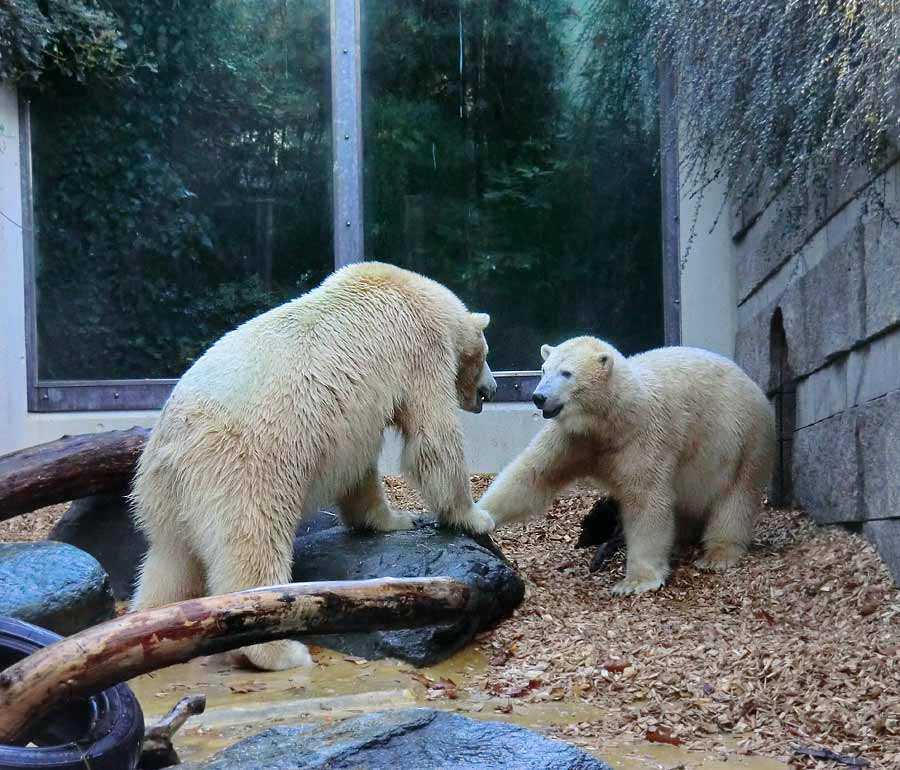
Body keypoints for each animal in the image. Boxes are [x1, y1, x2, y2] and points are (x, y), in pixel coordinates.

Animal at [132, 260, 500, 668]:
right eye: (486, 353)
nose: (492, 389)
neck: (407, 290)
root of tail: (174, 444)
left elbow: (359, 472)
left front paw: (394, 520)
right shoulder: (421, 350)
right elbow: (433, 439)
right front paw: (474, 516)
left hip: (160, 490)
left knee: (170, 559)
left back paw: (157, 625)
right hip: (243, 466)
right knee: (252, 544)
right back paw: (280, 650)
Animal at [482, 336, 776, 592]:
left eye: (566, 373)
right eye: (543, 370)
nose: (539, 397)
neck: (615, 418)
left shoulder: (645, 438)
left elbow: (646, 501)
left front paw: (634, 582)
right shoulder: (574, 438)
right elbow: (532, 475)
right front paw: (480, 517)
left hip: (745, 437)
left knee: (736, 496)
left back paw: (717, 554)